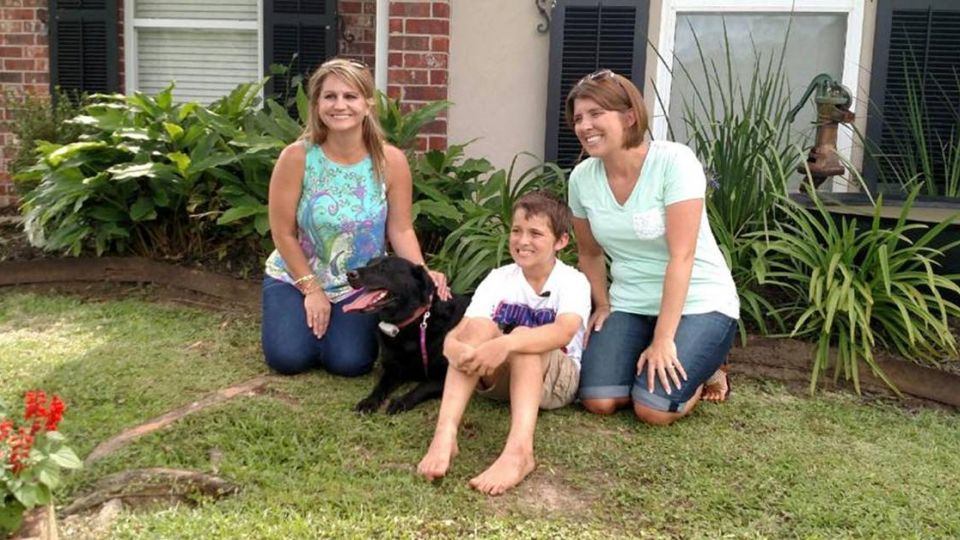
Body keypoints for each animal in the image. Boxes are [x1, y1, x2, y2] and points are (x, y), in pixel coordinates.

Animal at [344, 256, 469, 414]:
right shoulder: (395, 369)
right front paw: (369, 401)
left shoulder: (446, 375)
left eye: (384, 268)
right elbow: (380, 385)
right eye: (368, 264)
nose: (349, 274)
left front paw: (400, 402)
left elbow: (423, 387)